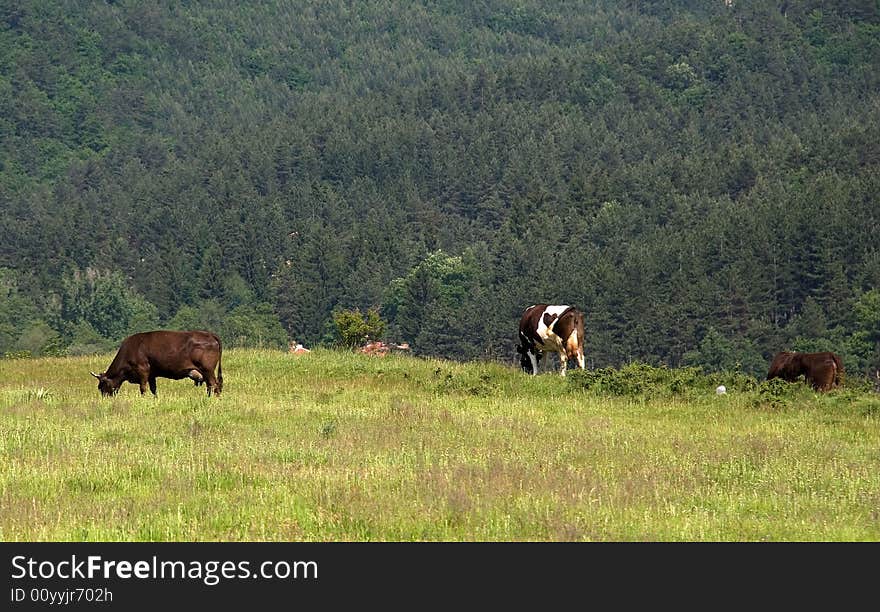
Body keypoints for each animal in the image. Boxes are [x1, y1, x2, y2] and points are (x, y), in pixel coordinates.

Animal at [90, 330, 223, 396]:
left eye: (102, 385)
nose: (105, 398)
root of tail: (210, 334)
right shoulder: (152, 375)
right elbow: (153, 389)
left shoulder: (143, 370)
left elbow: (143, 388)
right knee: (211, 385)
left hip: (207, 370)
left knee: (214, 385)